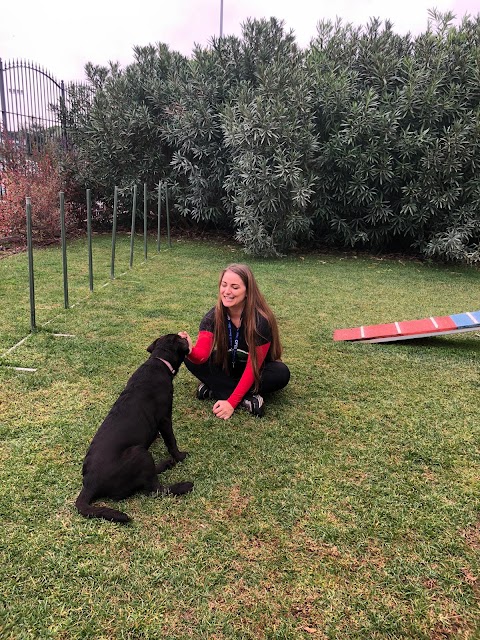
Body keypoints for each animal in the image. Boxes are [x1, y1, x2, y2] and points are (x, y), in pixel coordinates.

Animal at [76, 332, 192, 524]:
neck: (159, 361)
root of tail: (90, 483)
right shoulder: (165, 418)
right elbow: (171, 441)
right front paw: (180, 456)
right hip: (140, 452)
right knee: (155, 489)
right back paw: (184, 484)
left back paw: (166, 464)